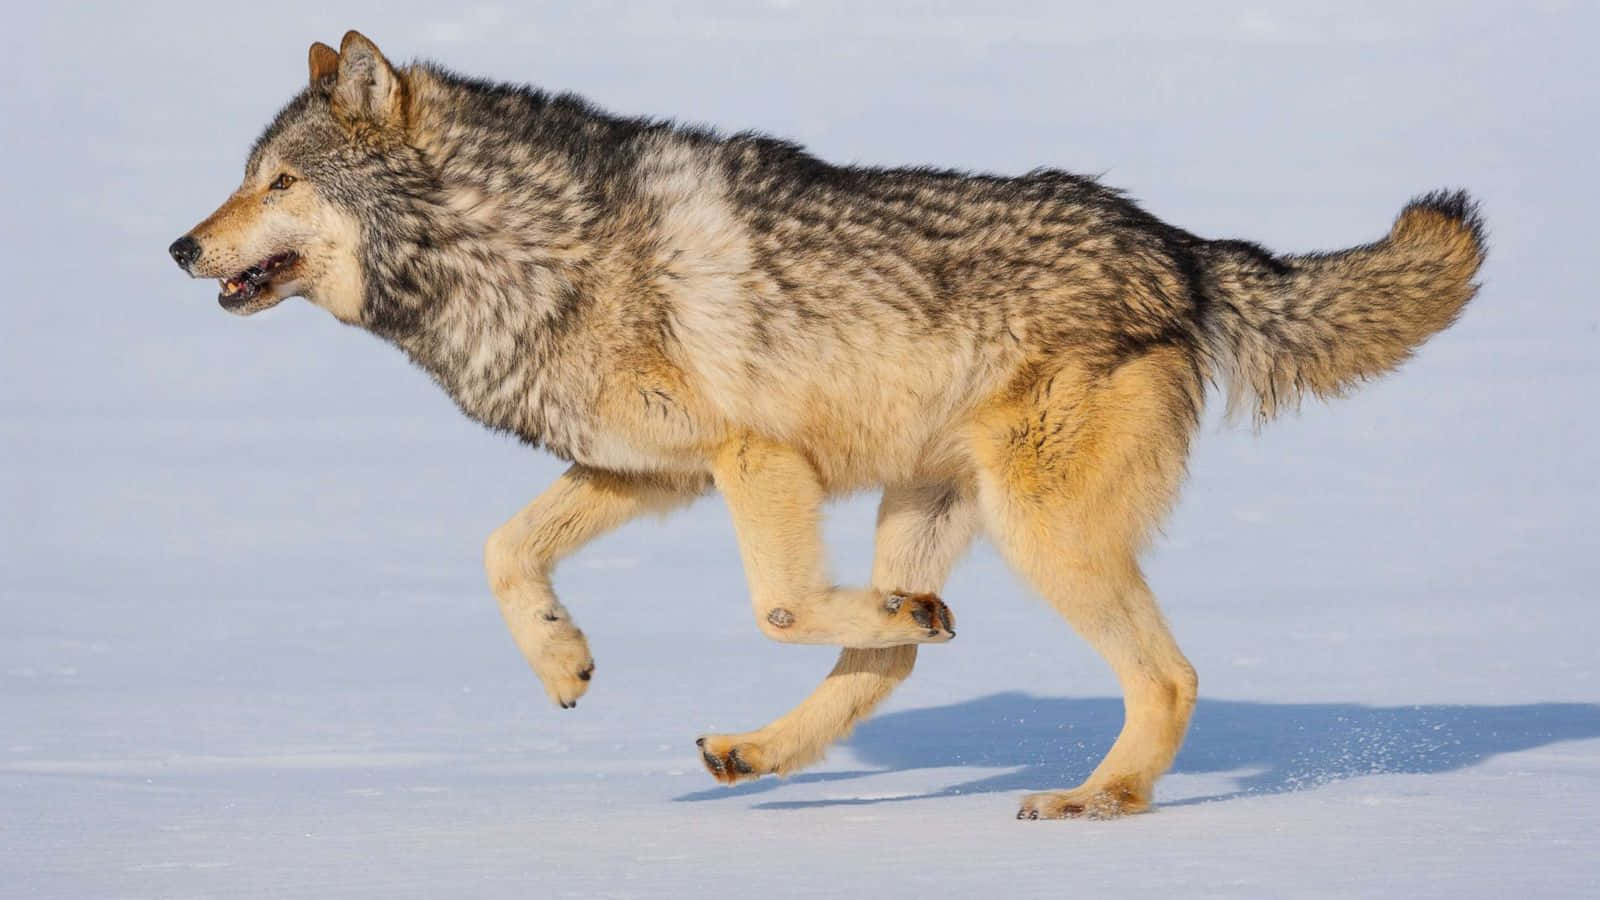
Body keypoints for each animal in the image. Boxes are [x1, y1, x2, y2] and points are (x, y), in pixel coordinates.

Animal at [170, 31, 1485, 819]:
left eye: (280, 182)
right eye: (247, 175)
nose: (180, 246)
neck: (519, 244)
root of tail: (1175, 244)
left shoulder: (755, 456)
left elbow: (779, 604)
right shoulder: (644, 472)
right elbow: (501, 552)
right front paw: (561, 660)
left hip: (1043, 532)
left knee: (1166, 677)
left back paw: (1091, 801)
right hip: (935, 503)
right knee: (893, 656)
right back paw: (766, 744)